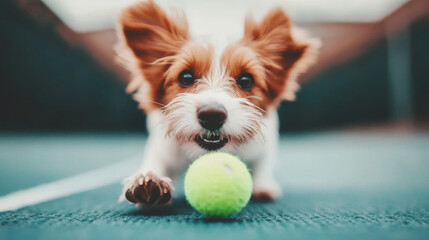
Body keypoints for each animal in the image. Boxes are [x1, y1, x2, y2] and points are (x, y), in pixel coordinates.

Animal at [115, 0, 320, 206]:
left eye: (246, 80)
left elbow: (263, 163)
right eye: (186, 77)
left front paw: (263, 184)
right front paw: (149, 179)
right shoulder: (162, 149)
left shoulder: (265, 143)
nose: (212, 116)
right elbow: (155, 162)